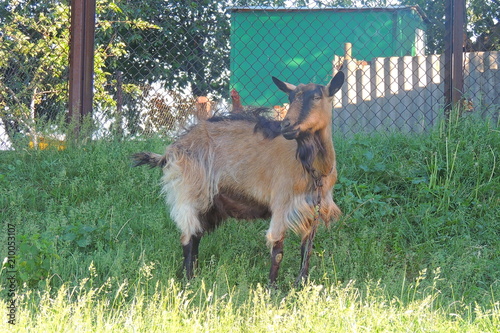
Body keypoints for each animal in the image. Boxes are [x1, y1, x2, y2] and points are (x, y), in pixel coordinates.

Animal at [133, 70, 344, 282]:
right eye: (291, 98)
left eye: (316, 97)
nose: (287, 126)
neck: (311, 166)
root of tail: (172, 149)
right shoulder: (281, 204)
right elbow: (278, 250)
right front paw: (271, 288)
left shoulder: (312, 210)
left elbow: (307, 249)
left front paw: (302, 284)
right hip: (189, 191)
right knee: (188, 237)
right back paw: (189, 279)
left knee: (196, 234)